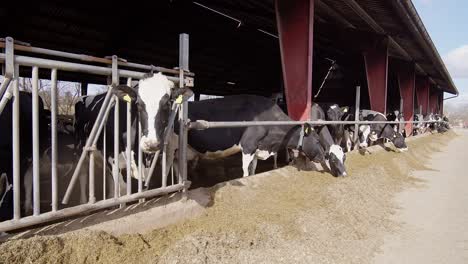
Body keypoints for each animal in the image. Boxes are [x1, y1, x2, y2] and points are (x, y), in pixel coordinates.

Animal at [133, 72, 328, 177]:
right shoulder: (248, 146)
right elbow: (246, 171)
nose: (324, 157)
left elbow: (253, 170)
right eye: (318, 141)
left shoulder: (257, 148)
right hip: (167, 147)